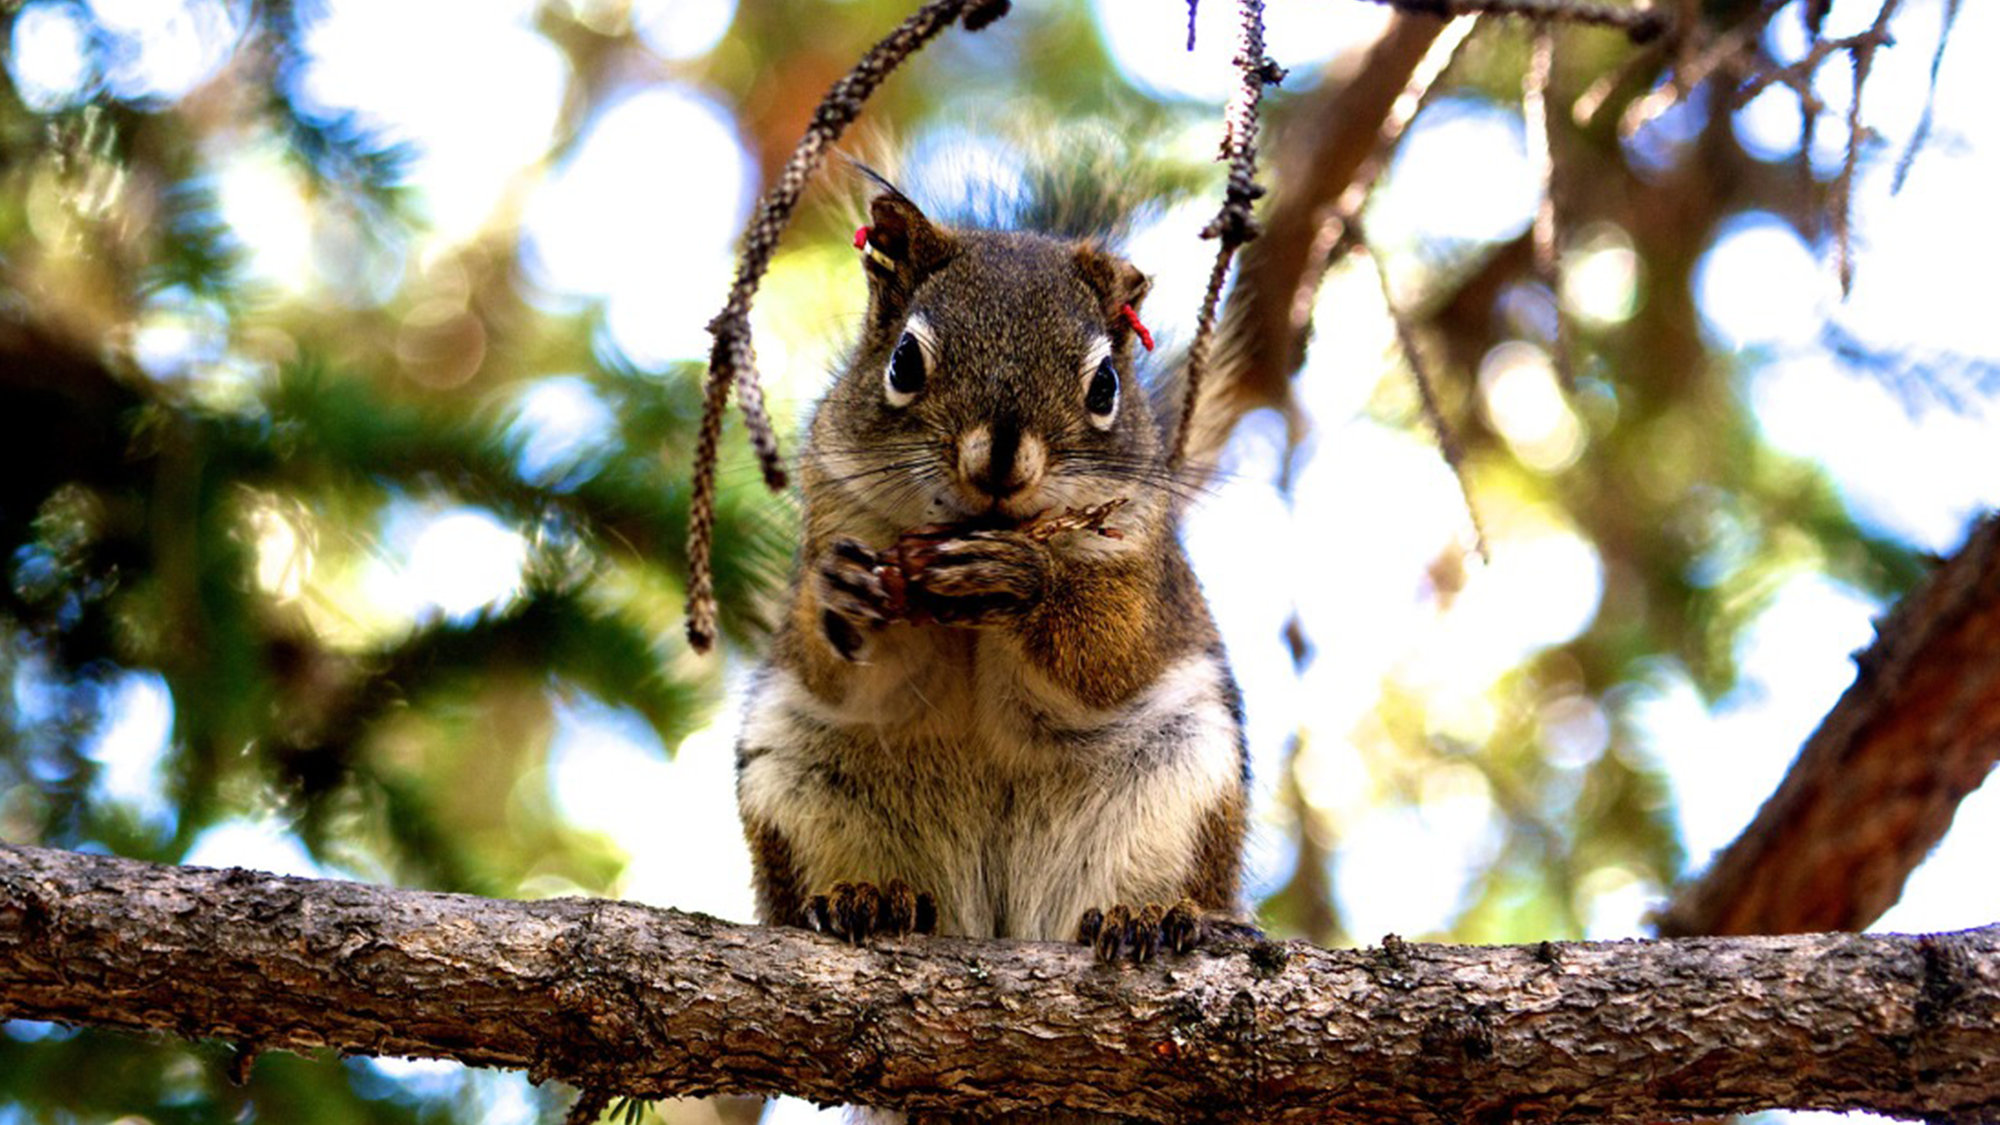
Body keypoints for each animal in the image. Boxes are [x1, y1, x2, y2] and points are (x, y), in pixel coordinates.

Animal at [732, 175, 1248, 972]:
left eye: (1106, 385)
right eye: (903, 362)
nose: (1000, 461)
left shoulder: (1143, 568)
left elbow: (1107, 656)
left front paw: (1022, 581)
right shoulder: (837, 510)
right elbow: (846, 674)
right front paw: (844, 598)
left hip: (1177, 793)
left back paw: (1147, 915)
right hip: (800, 791)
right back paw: (869, 897)